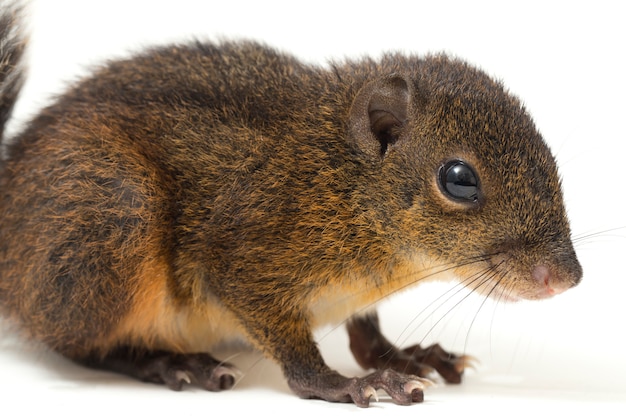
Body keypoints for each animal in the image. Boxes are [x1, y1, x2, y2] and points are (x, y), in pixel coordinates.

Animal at [0, 4, 580, 406]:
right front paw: (345, 384)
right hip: (112, 215)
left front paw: (400, 356)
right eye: (459, 180)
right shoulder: (244, 250)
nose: (568, 277)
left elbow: (364, 331)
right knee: (79, 343)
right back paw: (168, 362)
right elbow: (293, 356)